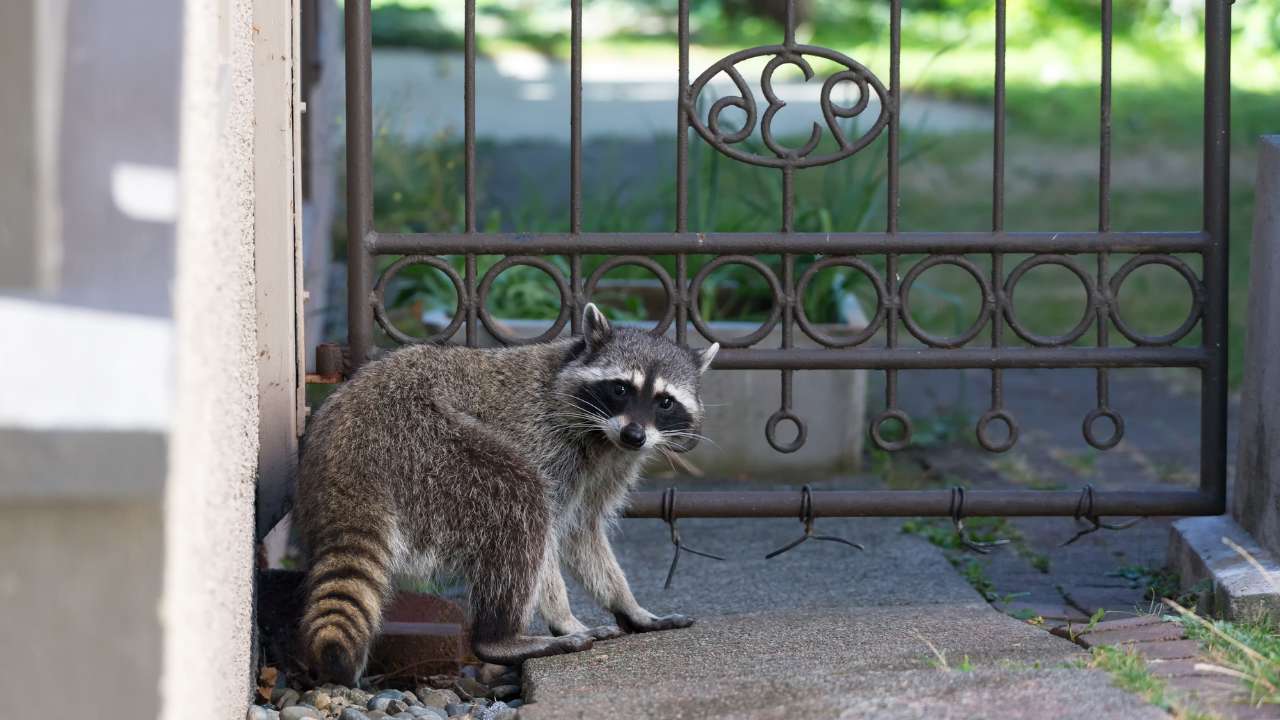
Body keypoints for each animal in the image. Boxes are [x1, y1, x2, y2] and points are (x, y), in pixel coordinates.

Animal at [294, 304, 718, 684]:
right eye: (619, 388)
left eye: (665, 401)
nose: (635, 435)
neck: (603, 436)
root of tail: (347, 452)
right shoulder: (545, 441)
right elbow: (549, 538)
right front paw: (564, 617)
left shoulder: (608, 468)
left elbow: (583, 534)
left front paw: (629, 606)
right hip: (427, 445)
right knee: (520, 500)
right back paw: (500, 638)